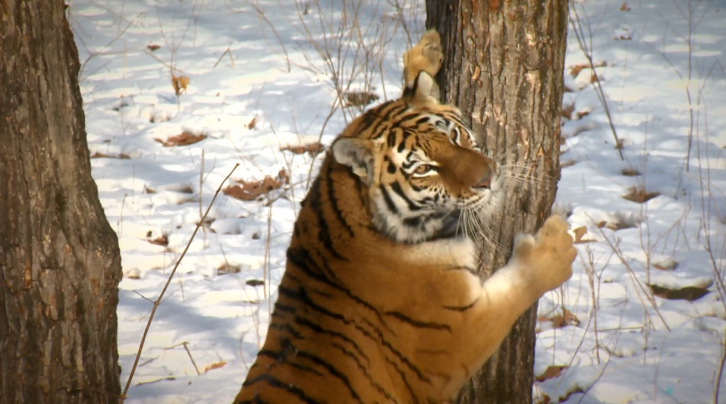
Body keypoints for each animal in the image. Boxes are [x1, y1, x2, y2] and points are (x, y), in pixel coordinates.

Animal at [236, 29, 576, 404]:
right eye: (425, 169)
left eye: (453, 136)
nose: (488, 178)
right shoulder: (455, 335)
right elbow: (519, 286)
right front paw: (556, 248)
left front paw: (426, 54)